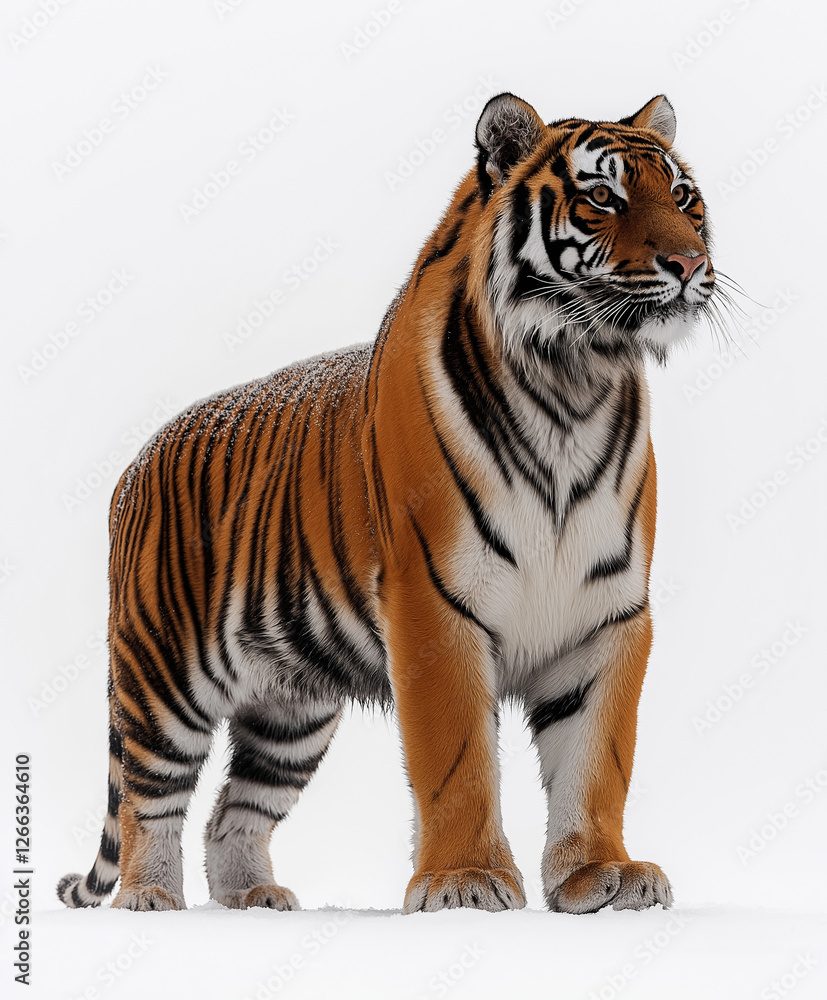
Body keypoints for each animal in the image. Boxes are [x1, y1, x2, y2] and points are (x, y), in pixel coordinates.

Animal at [58, 91, 714, 916]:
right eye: (602, 197)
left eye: (683, 197)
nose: (689, 263)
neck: (573, 382)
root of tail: (134, 463)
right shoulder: (433, 604)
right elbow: (457, 756)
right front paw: (464, 880)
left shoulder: (607, 615)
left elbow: (599, 760)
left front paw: (600, 876)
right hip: (163, 674)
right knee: (150, 799)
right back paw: (149, 898)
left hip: (290, 711)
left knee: (233, 811)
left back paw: (253, 899)